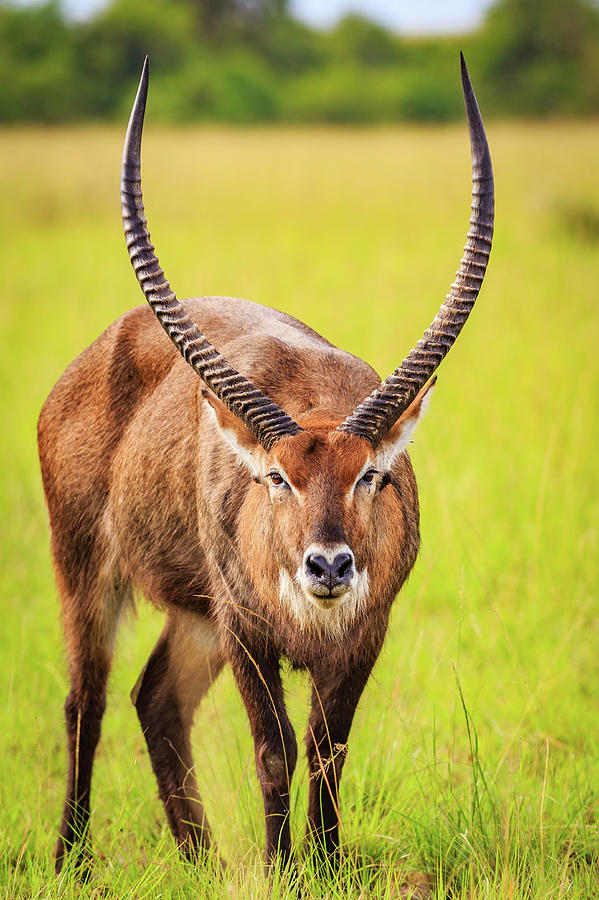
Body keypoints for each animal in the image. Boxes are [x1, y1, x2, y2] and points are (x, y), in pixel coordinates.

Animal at [39, 52, 494, 876]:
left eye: (371, 475)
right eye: (277, 477)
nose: (329, 566)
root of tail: (94, 351)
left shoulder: (364, 632)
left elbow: (329, 748)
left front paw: (329, 866)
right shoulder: (247, 629)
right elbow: (275, 747)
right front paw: (284, 868)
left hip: (194, 614)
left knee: (155, 698)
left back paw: (201, 861)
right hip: (89, 568)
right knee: (85, 702)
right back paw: (73, 861)